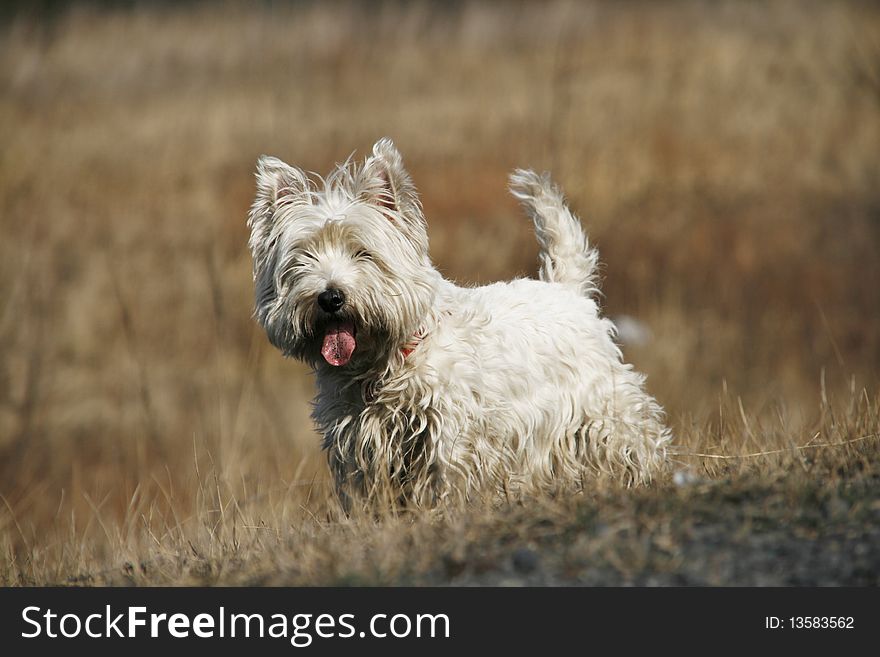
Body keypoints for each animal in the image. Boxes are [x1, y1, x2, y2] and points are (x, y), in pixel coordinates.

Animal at [244, 138, 672, 508]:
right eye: (302, 259)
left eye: (362, 252)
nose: (330, 298)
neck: (385, 366)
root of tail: (568, 290)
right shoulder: (359, 444)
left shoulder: (450, 436)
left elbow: (447, 481)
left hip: (607, 411)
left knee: (636, 443)